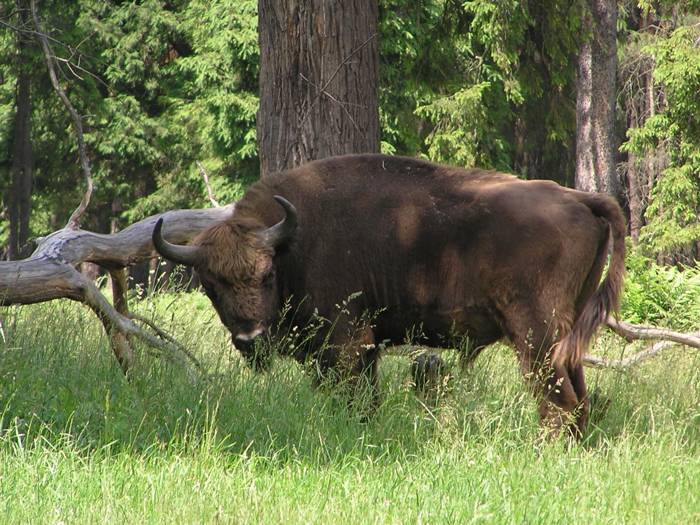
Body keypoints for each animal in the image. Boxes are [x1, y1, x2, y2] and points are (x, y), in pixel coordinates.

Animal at [153, 154, 624, 436]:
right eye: (210, 286)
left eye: (266, 275)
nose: (250, 339)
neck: (294, 241)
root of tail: (580, 199)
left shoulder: (348, 344)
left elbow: (356, 399)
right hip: (567, 336)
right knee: (579, 399)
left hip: (536, 337)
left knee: (558, 401)